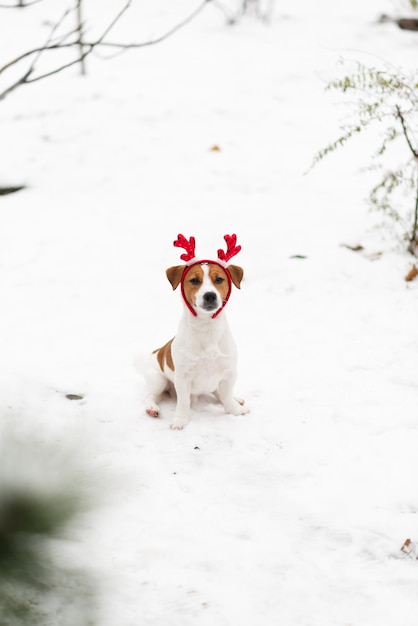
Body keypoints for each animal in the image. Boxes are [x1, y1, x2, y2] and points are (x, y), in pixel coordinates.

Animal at [142, 234, 250, 428]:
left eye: (219, 279)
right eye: (194, 280)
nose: (210, 295)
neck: (207, 329)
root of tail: (156, 351)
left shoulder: (229, 371)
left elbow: (226, 396)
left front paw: (235, 410)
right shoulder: (183, 377)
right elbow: (183, 401)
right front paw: (180, 420)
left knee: (219, 393)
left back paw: (236, 400)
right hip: (158, 379)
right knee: (150, 396)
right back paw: (152, 408)